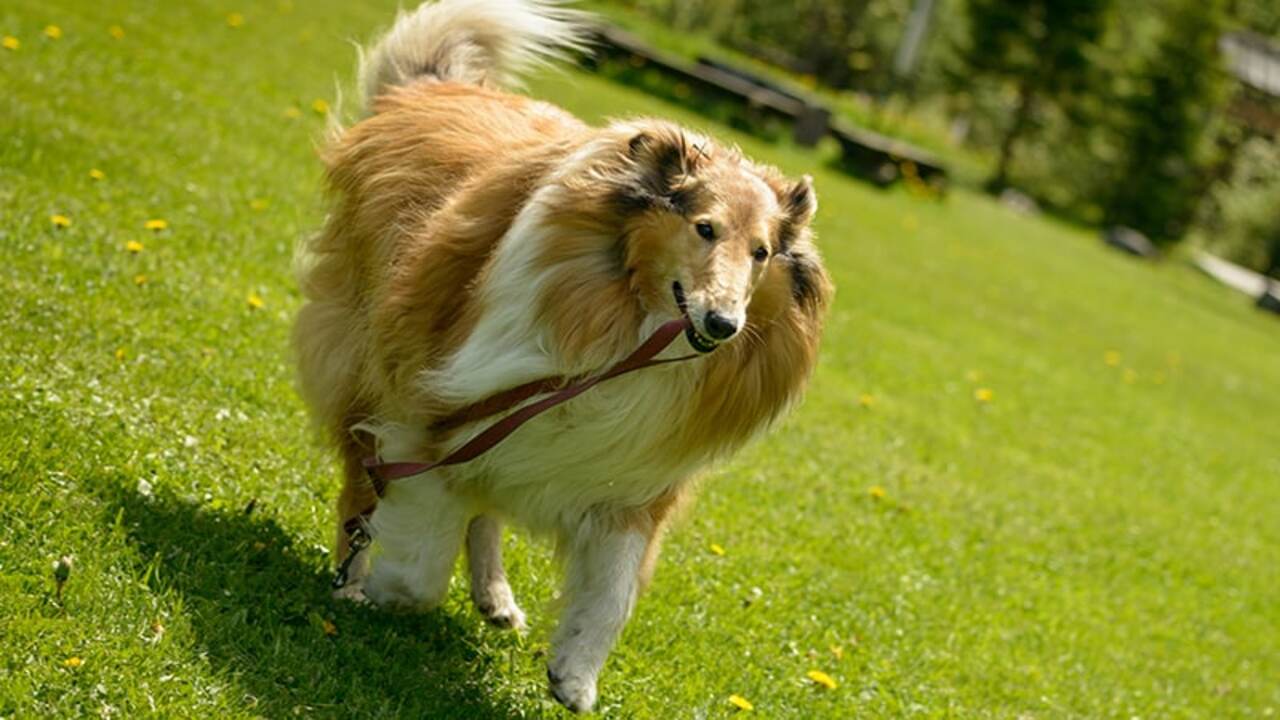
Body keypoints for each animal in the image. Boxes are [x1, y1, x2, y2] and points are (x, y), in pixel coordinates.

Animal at [293, 0, 829, 707]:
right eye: (704, 228)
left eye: (762, 252)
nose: (722, 324)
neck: (629, 323)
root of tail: (431, 90)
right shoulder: (426, 413)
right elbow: (422, 564)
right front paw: (386, 587)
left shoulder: (628, 480)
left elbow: (611, 593)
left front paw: (575, 673)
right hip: (364, 365)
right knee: (364, 490)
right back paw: (354, 579)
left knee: (482, 509)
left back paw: (494, 596)